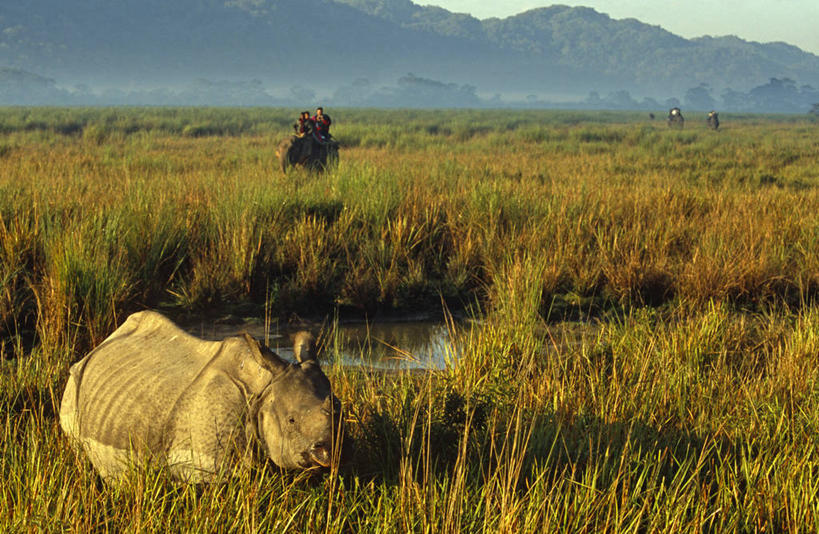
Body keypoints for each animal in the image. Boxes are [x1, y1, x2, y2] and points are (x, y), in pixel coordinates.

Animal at [60, 312, 342, 484]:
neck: (263, 388)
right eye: (291, 420)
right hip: (73, 384)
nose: (331, 452)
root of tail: (100, 344)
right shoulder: (204, 467)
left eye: (339, 410)